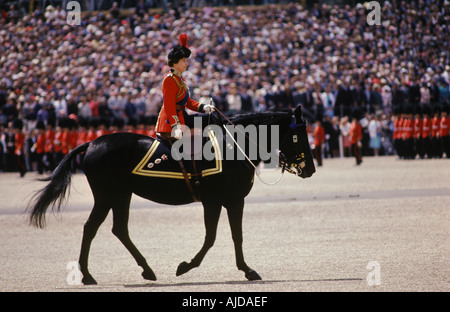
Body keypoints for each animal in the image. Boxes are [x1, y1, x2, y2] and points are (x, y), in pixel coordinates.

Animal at [28, 106, 314, 284]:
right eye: (299, 135)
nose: (309, 169)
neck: (235, 147)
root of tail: (93, 142)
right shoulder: (217, 201)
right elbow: (213, 238)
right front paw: (186, 266)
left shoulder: (231, 201)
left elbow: (235, 236)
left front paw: (246, 269)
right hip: (108, 195)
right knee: (91, 228)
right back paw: (88, 276)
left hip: (121, 196)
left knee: (118, 229)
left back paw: (146, 270)